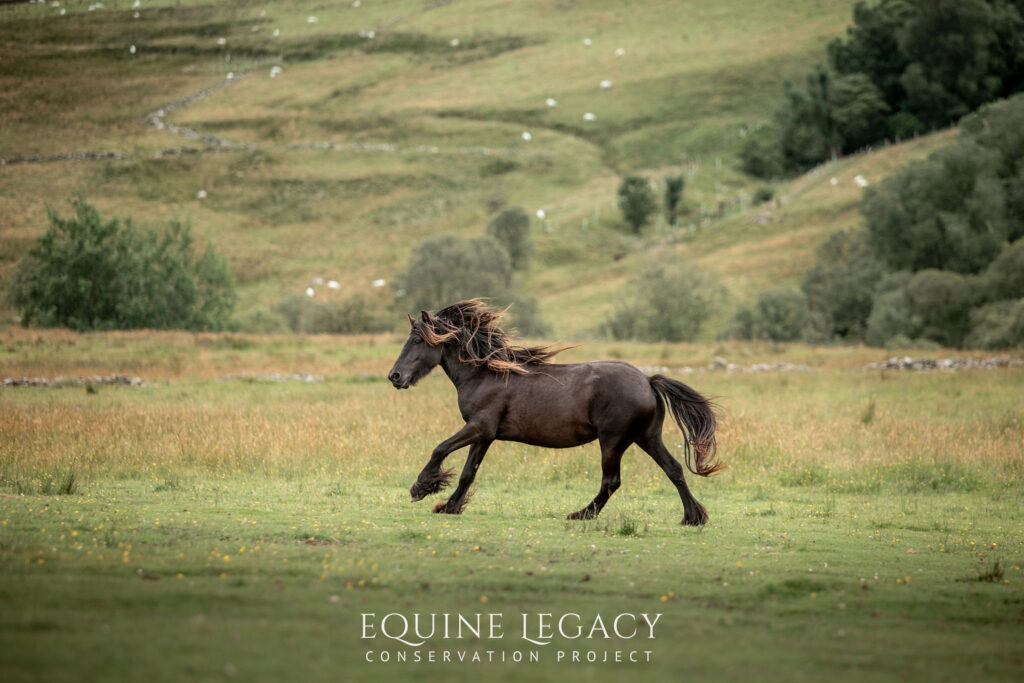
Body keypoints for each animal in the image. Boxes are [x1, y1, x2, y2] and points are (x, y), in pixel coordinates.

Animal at [386, 299, 723, 525]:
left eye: (416, 340)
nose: (395, 377)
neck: (484, 374)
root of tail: (648, 381)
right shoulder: (485, 435)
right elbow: (469, 473)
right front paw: (449, 506)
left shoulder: (479, 427)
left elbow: (440, 448)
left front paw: (421, 488)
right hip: (646, 437)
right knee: (674, 469)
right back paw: (693, 517)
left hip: (613, 440)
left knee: (612, 481)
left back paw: (581, 514)